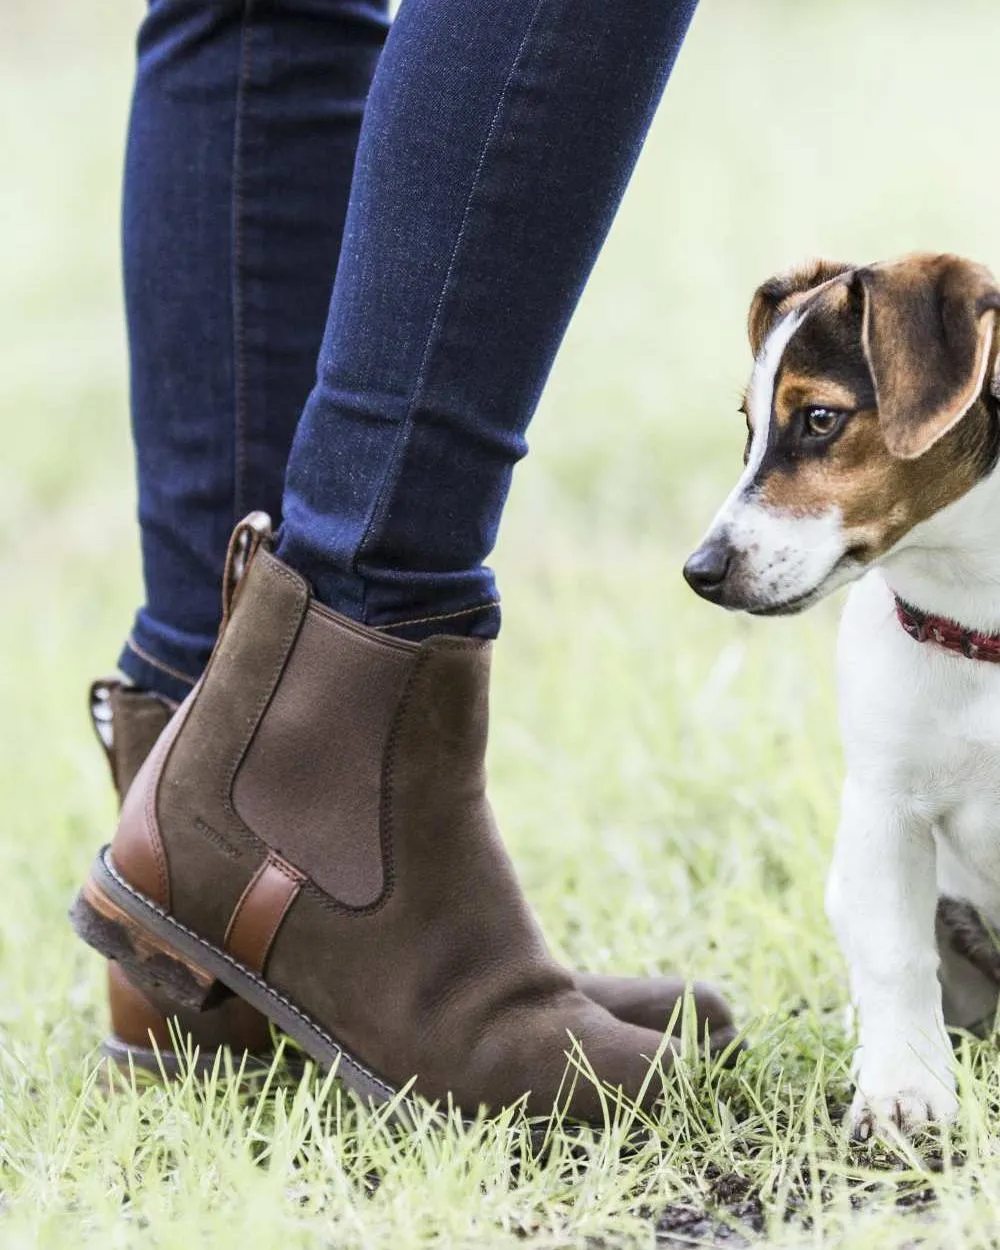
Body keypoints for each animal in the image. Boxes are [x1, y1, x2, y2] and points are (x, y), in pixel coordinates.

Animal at [685, 248, 1000, 1140]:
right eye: (749, 426)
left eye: (819, 419)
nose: (700, 571)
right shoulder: (886, 809)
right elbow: (897, 959)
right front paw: (905, 1093)